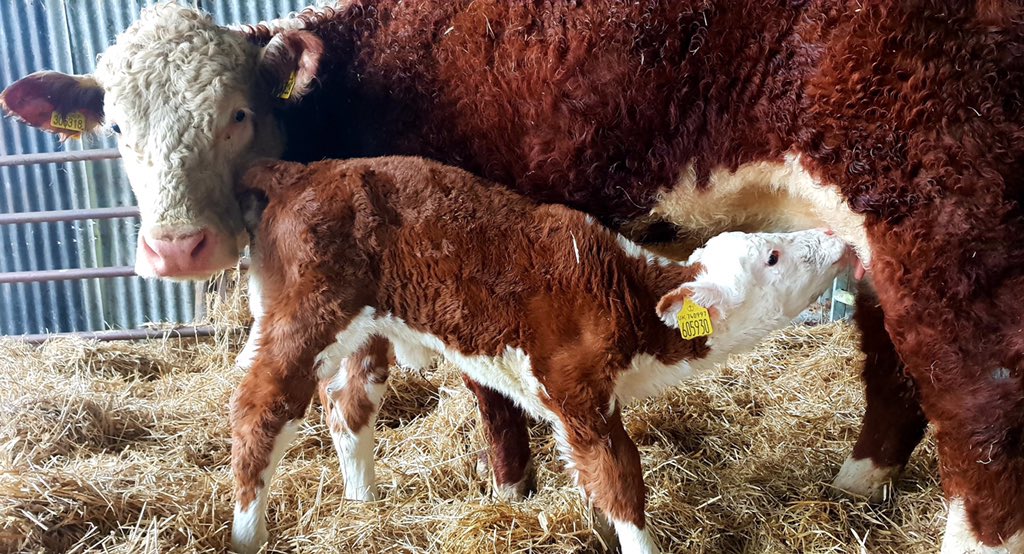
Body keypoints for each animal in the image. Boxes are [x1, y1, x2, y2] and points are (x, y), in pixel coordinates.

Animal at [2, 2, 1022, 551]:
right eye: (115, 126)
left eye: (239, 113)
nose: (179, 248)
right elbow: (358, 393)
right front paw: (370, 501)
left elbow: (485, 391)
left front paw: (509, 489)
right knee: (890, 349)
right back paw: (858, 480)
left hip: (945, 202)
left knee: (978, 397)